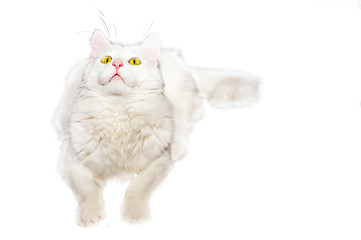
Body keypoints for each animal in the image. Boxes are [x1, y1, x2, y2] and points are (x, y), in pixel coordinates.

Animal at [53, 30, 260, 227]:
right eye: (106, 60)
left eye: (134, 62)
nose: (117, 64)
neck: (118, 114)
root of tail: (179, 60)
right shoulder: (72, 162)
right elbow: (87, 190)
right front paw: (89, 216)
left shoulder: (159, 159)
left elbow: (139, 186)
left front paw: (134, 214)